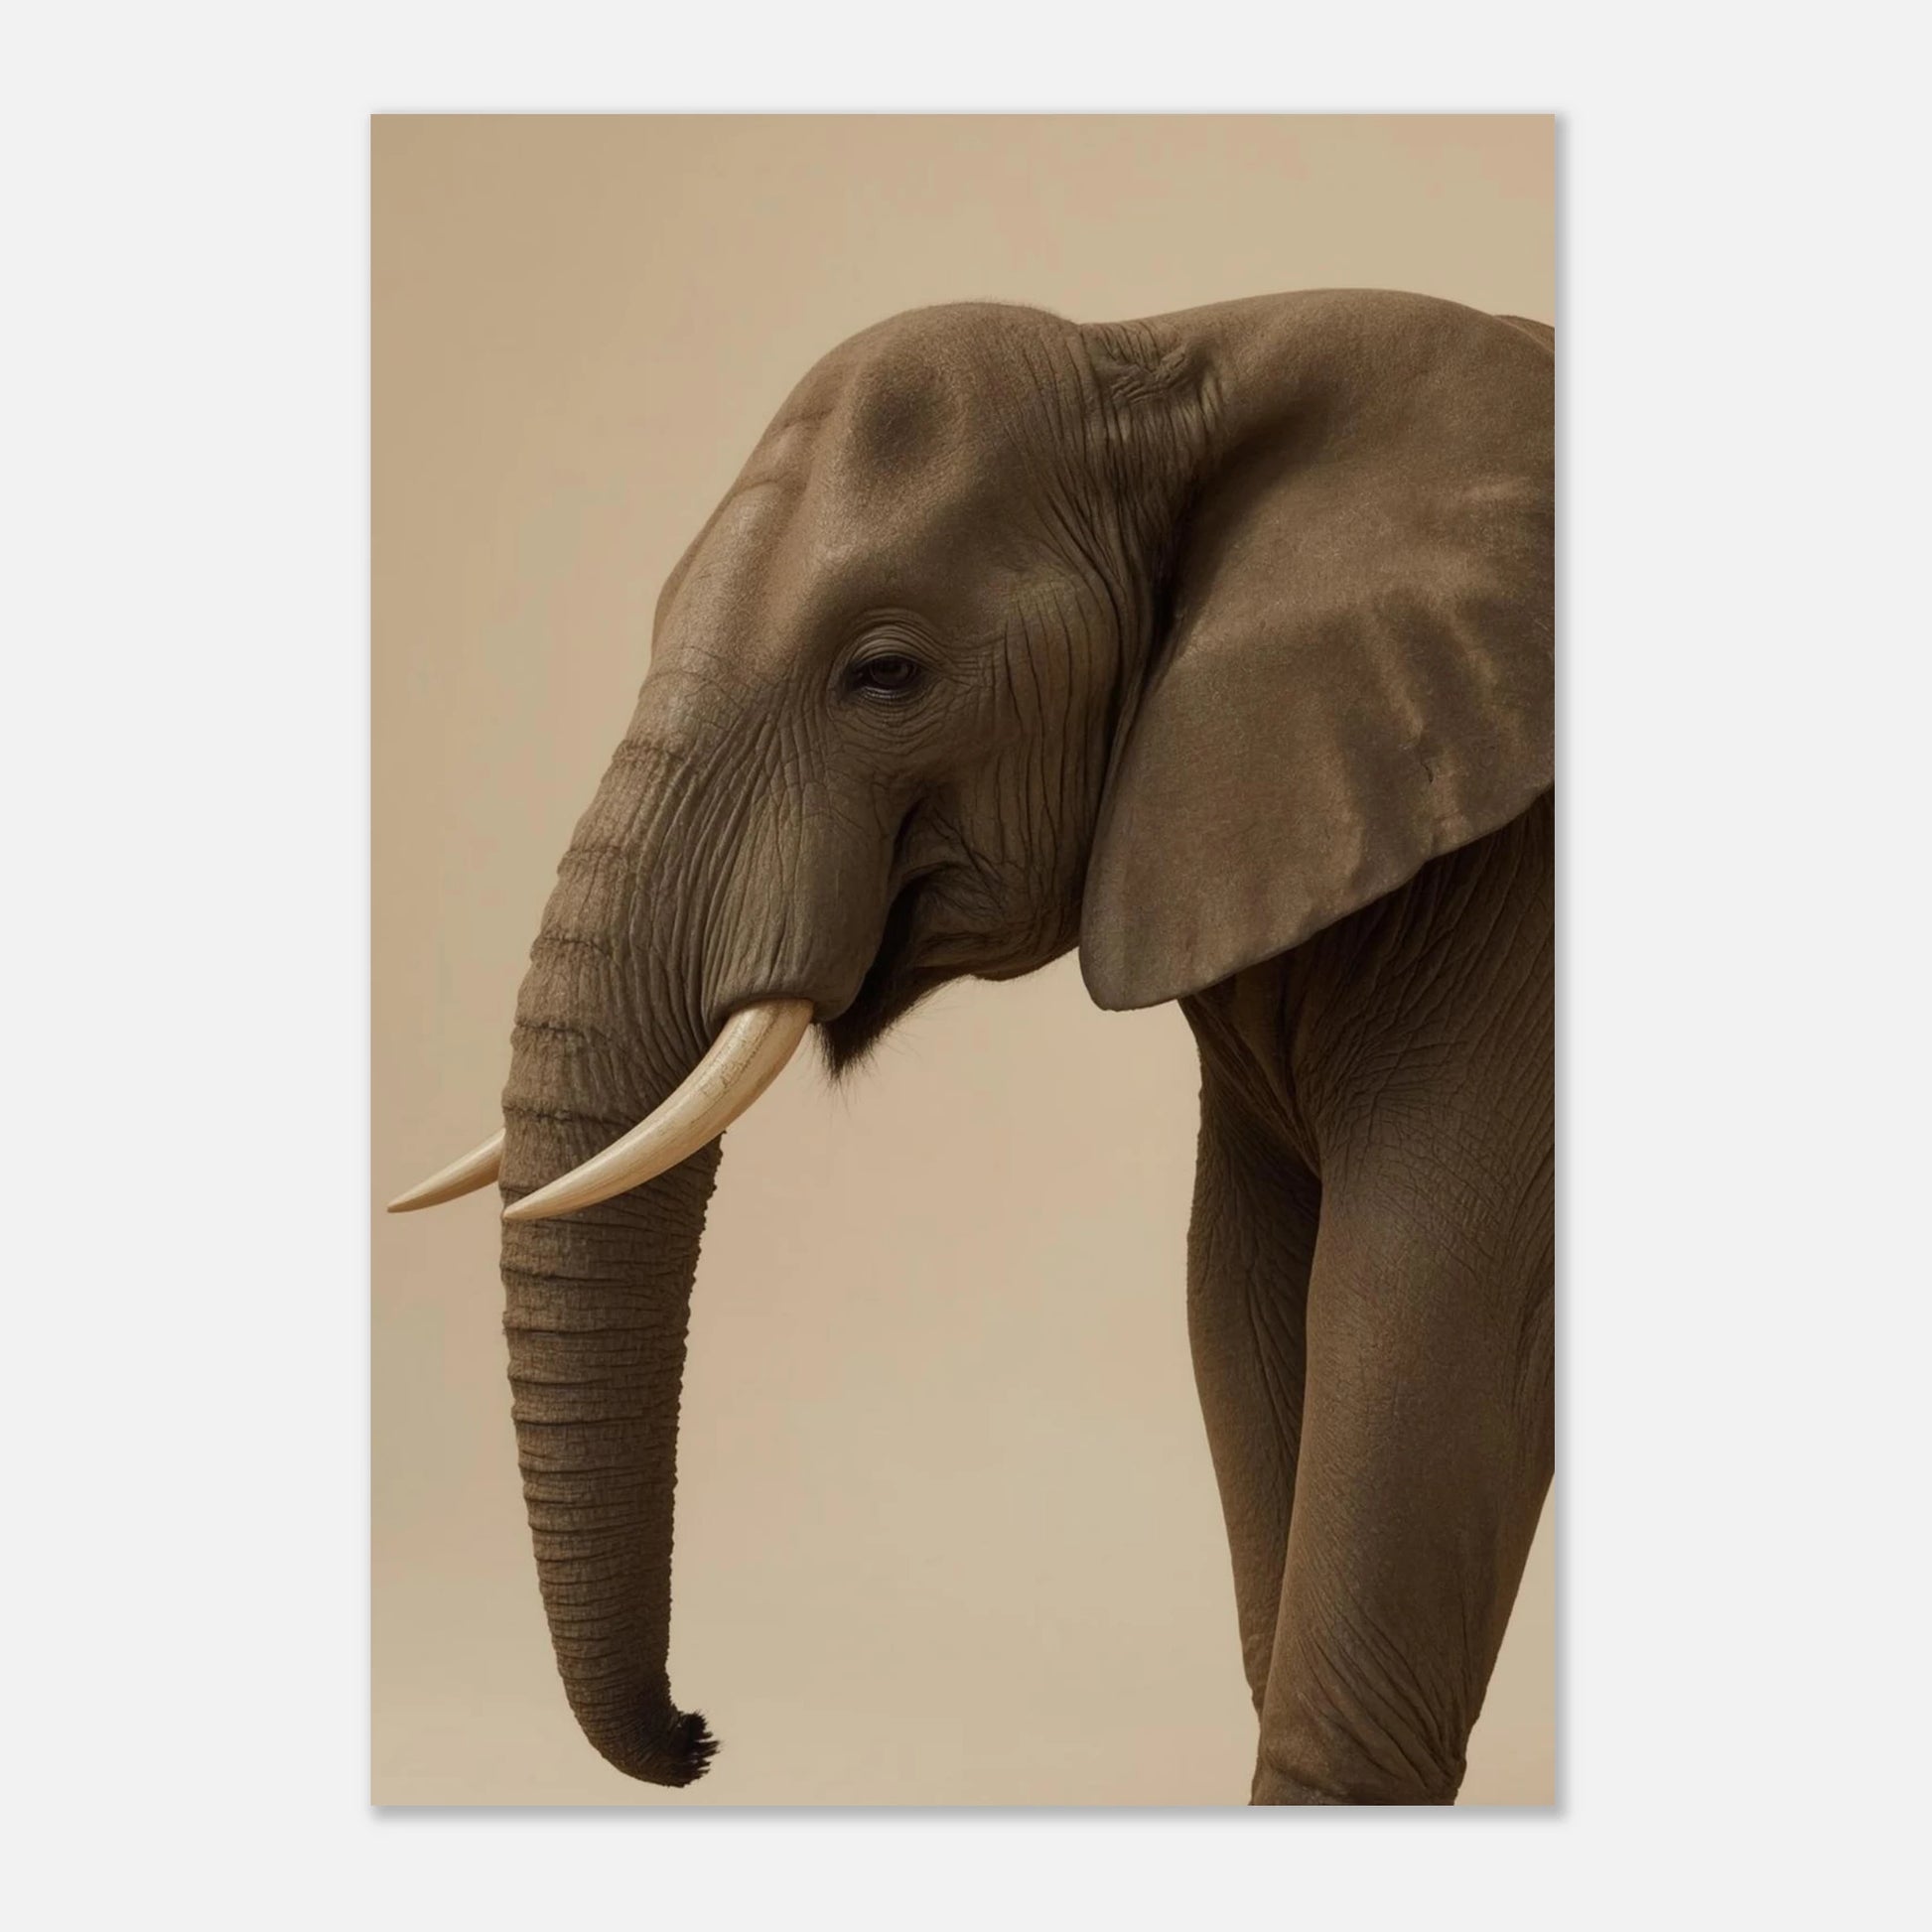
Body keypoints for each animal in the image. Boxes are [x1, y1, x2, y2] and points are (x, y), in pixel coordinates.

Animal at [391, 287, 1554, 1806]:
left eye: (885, 675)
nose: (702, 1733)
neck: (1178, 344)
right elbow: (1240, 1298)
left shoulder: (1509, 931)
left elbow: (1420, 1318)